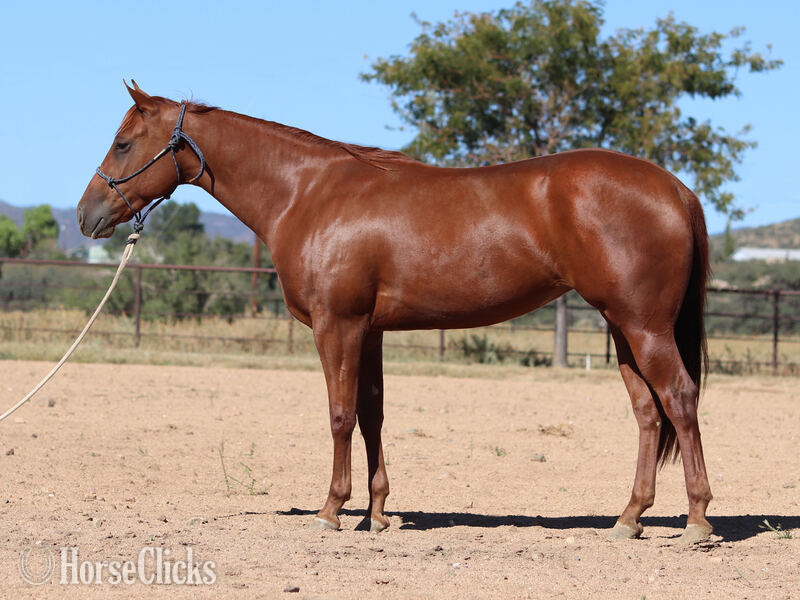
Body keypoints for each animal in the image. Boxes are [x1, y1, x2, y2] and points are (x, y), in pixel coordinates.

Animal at [78, 82, 713, 543]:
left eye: (124, 143)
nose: (86, 216)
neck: (309, 194)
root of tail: (675, 189)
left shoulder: (337, 326)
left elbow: (339, 415)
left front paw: (332, 510)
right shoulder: (371, 331)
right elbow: (372, 416)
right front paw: (377, 513)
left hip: (644, 326)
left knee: (680, 399)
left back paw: (698, 520)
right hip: (623, 329)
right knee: (649, 413)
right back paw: (629, 518)